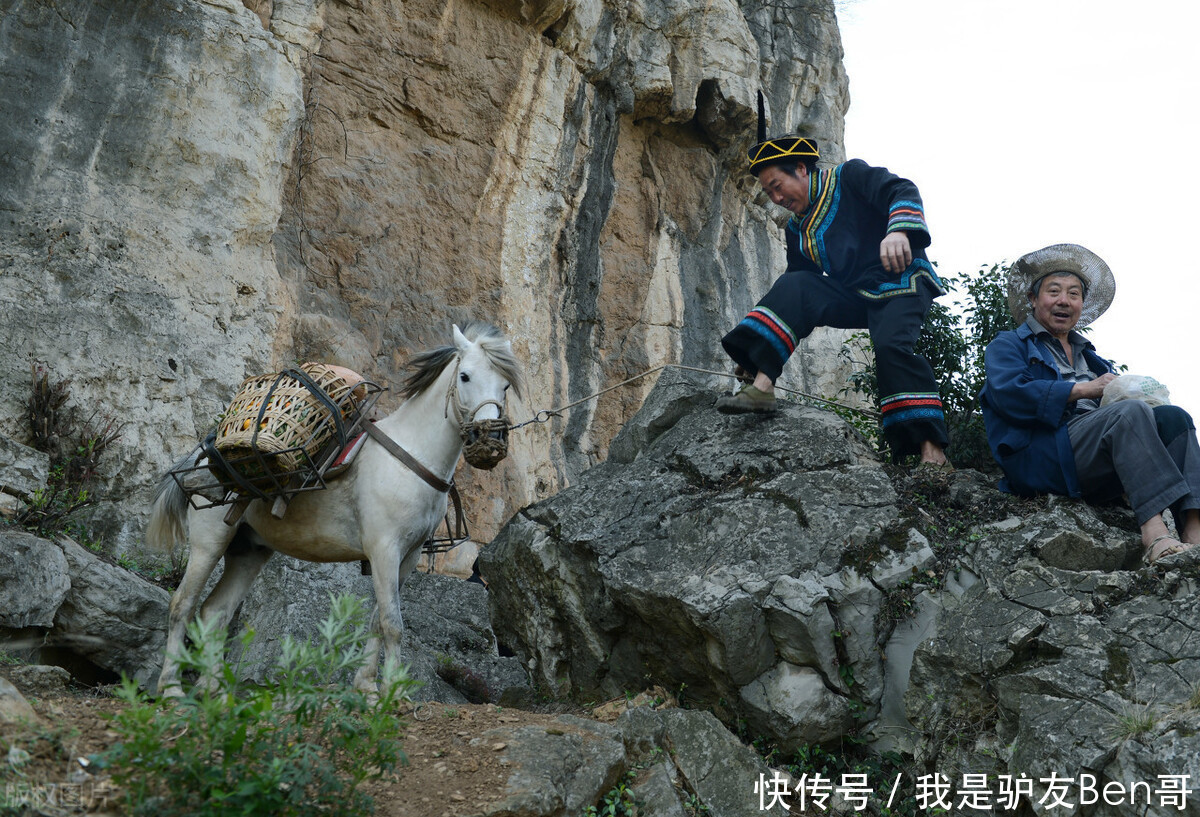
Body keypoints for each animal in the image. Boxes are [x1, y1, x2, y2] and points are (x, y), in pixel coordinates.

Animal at [147, 321, 523, 691]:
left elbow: (376, 621)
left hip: (248, 551)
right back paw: (171, 687)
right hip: (209, 543)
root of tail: (204, 452)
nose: (489, 438)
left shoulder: (408, 556)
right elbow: (392, 623)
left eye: (505, 384)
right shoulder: (384, 550)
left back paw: (211, 689)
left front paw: (367, 687)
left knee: (215, 612)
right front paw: (391, 692)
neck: (410, 456)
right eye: (465, 376)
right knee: (182, 605)